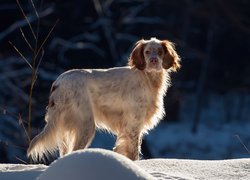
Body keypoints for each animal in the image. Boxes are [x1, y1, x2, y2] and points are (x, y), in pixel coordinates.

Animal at [26, 37, 180, 160]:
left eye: (159, 51)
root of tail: (59, 82)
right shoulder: (133, 125)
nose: (153, 61)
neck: (148, 78)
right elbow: (133, 152)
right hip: (86, 124)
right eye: (147, 52)